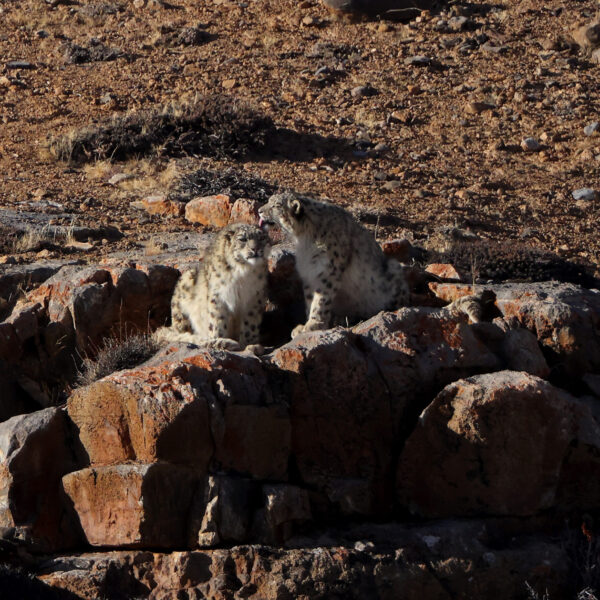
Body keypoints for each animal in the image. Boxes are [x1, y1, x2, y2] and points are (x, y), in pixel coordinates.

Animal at [154, 225, 270, 354]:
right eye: (242, 239)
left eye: (262, 238)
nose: (256, 249)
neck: (243, 272)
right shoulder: (218, 296)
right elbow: (217, 319)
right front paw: (219, 340)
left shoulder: (254, 298)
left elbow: (250, 323)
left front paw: (250, 344)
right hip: (184, 291)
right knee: (178, 332)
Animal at [260, 191, 410, 338]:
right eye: (269, 201)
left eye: (276, 205)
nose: (260, 210)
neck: (303, 239)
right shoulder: (309, 271)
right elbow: (310, 299)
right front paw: (305, 325)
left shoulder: (327, 270)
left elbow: (320, 300)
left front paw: (312, 325)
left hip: (393, 270)